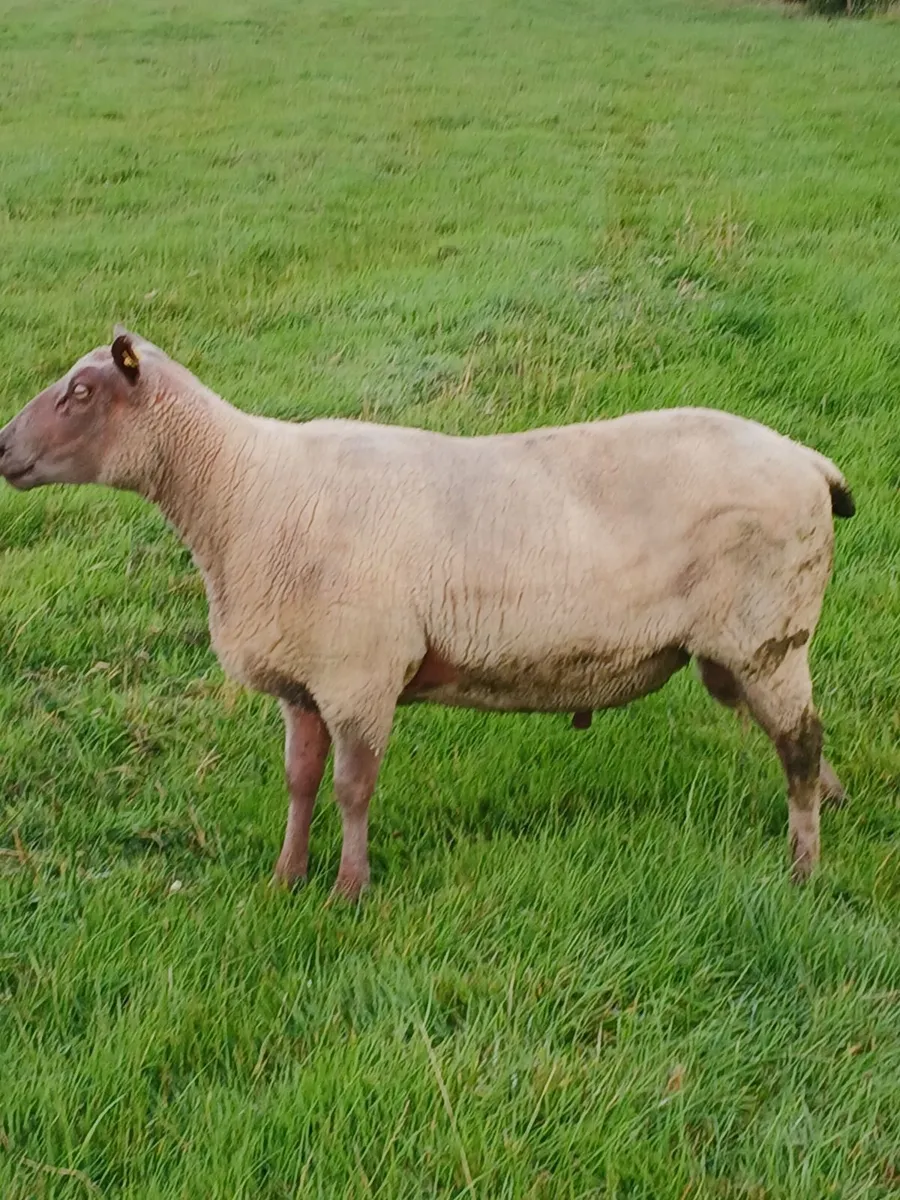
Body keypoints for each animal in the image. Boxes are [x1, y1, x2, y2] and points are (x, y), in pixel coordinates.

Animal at [0, 329, 855, 898]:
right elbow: (300, 782)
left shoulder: (361, 674)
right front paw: (286, 878)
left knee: (799, 743)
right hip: (738, 649)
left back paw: (804, 868)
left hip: (767, 635)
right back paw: (832, 806)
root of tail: (810, 462)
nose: (2, 449)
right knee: (791, 735)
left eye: (80, 393)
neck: (241, 488)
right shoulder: (304, 683)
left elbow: (352, 788)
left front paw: (348, 891)